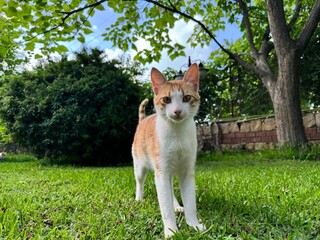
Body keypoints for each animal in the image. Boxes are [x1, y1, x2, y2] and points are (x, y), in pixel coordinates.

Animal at [132, 63, 205, 238]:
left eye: (186, 98)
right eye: (167, 99)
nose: (177, 111)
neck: (177, 134)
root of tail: (142, 121)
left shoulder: (187, 170)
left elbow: (190, 202)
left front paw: (194, 224)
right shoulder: (162, 171)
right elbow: (164, 206)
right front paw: (171, 230)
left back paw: (177, 206)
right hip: (140, 164)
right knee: (140, 180)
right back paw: (139, 198)